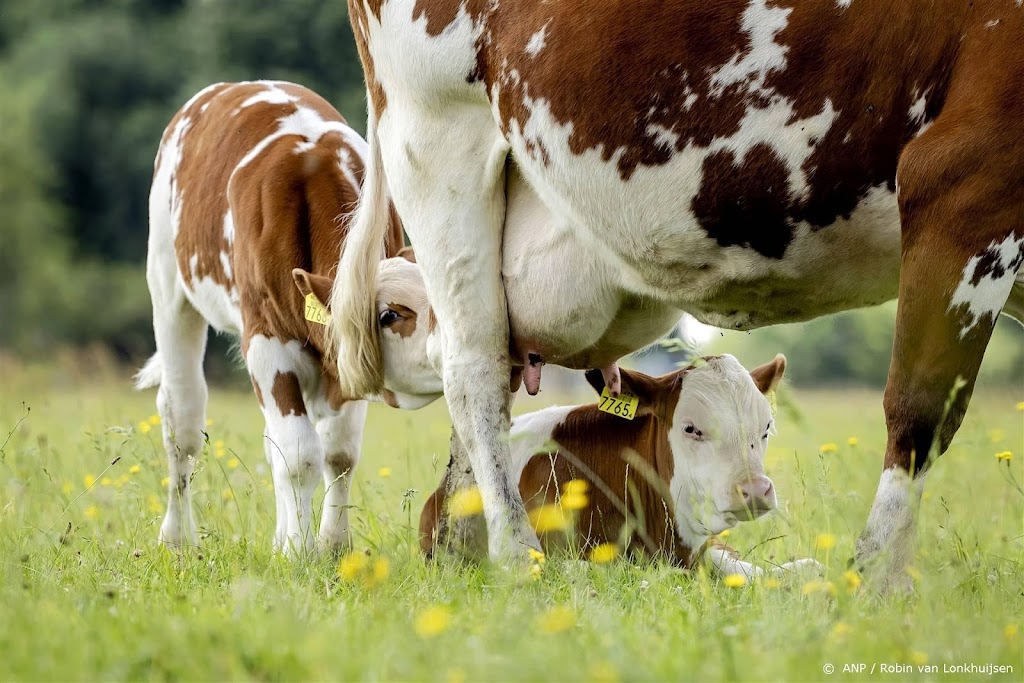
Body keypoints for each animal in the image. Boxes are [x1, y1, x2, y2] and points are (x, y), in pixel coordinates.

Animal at [136, 80, 407, 557]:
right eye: (392, 315)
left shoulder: (346, 366)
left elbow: (339, 453)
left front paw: (331, 545)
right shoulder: (266, 341)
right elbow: (299, 454)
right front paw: (298, 552)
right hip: (168, 286)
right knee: (181, 422)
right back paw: (177, 538)